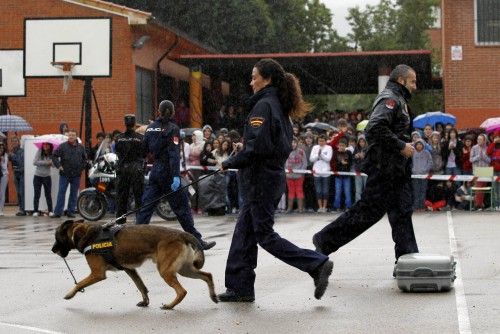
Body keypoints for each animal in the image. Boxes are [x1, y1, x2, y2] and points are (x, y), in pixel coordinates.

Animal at [51, 219, 218, 310]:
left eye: (56, 237)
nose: (52, 250)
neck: (85, 233)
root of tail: (182, 234)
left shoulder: (97, 274)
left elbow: (79, 283)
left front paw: (70, 294)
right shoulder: (129, 269)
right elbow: (141, 286)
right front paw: (145, 302)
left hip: (166, 271)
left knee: (182, 291)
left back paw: (170, 306)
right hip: (185, 270)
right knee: (208, 275)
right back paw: (214, 296)